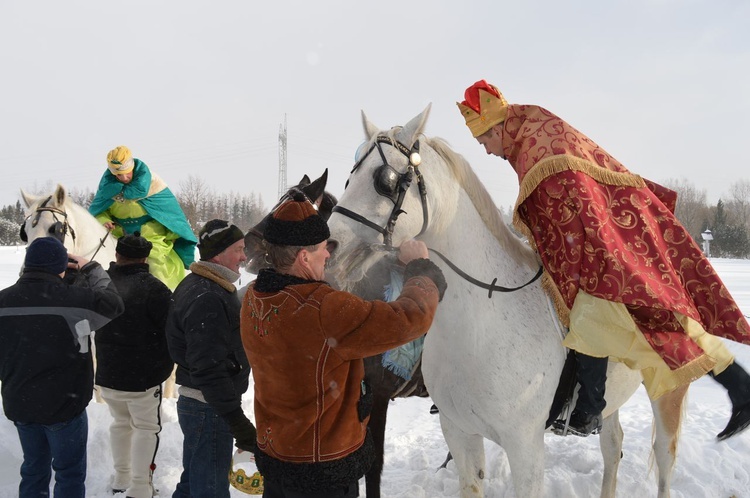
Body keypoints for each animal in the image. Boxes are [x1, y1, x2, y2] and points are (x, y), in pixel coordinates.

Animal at [326, 107, 692, 496]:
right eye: (350, 177)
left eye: (386, 179)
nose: (330, 245)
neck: (479, 326)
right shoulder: (459, 434)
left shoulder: (525, 447)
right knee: (613, 446)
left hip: (668, 393)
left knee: (665, 461)